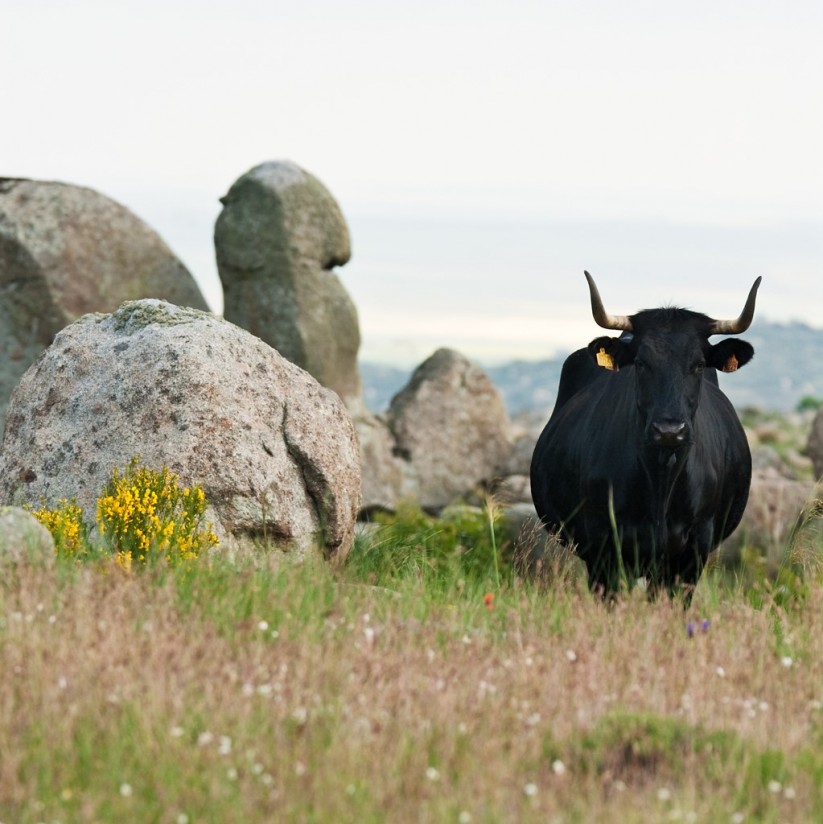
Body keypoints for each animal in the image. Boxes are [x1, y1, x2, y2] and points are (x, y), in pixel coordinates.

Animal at [532, 274, 764, 596]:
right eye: (641, 363)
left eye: (698, 364)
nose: (669, 430)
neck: (660, 481)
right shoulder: (603, 548)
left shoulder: (691, 554)